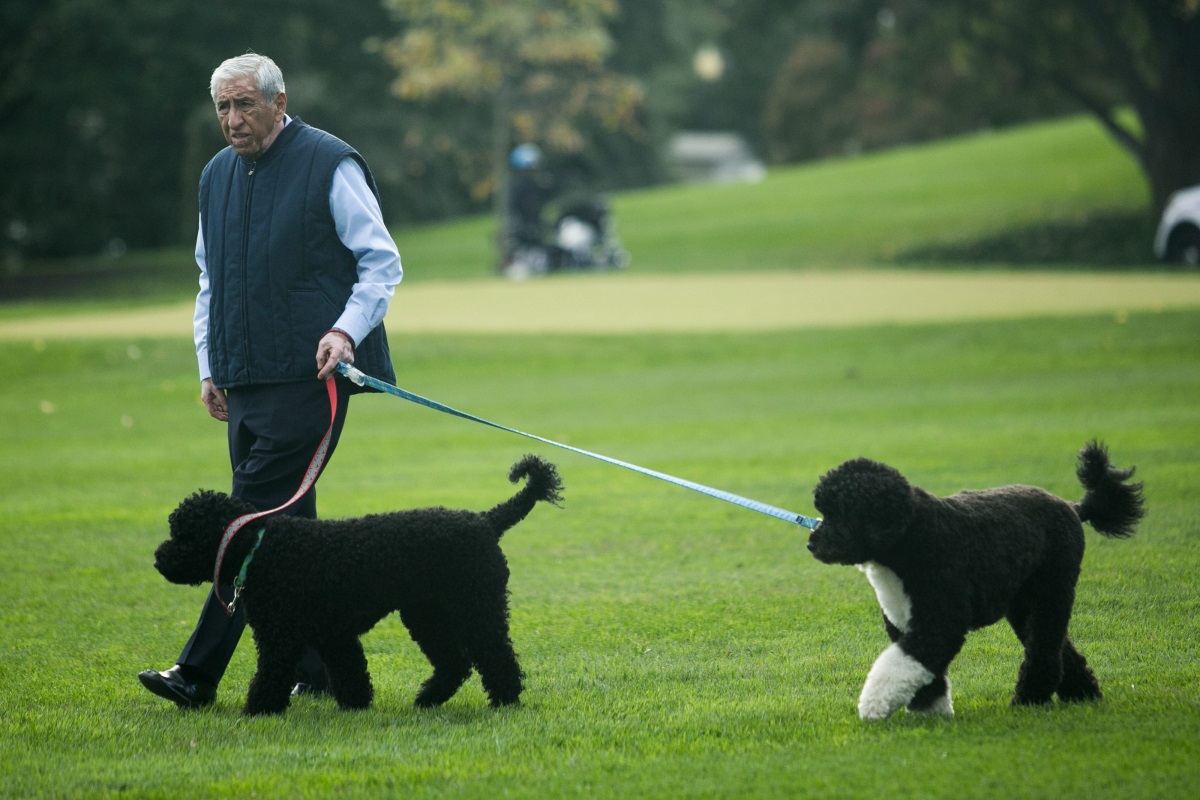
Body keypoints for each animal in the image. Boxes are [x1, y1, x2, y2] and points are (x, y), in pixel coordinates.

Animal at [153, 453, 561, 714]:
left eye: (183, 535)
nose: (158, 558)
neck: (261, 545)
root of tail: (485, 521)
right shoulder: (333, 634)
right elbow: (351, 672)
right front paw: (357, 706)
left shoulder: (280, 637)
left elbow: (270, 676)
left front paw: (257, 711)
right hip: (427, 615)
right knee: (455, 663)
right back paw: (429, 699)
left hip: (475, 607)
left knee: (496, 655)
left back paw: (505, 699)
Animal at [806, 441, 1142, 724]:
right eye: (824, 510)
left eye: (841, 513)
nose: (811, 544)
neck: (910, 539)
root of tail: (1073, 507)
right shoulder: (905, 621)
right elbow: (925, 671)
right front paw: (930, 710)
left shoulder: (941, 622)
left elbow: (902, 663)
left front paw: (874, 705)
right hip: (1023, 604)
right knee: (1062, 649)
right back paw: (1083, 695)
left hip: (1052, 591)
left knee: (1044, 648)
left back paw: (1029, 699)